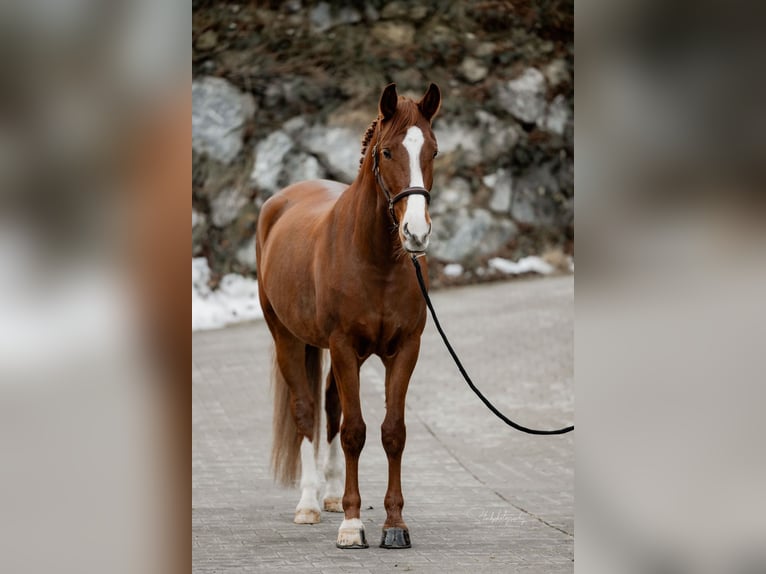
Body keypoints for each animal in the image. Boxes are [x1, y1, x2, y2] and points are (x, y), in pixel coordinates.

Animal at [255, 83, 440, 552]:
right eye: (388, 152)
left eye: (433, 150)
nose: (416, 233)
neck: (376, 260)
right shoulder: (342, 345)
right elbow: (355, 431)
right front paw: (353, 526)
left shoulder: (404, 349)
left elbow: (392, 432)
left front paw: (394, 524)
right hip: (288, 339)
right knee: (307, 412)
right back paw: (309, 503)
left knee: (332, 408)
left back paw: (333, 494)